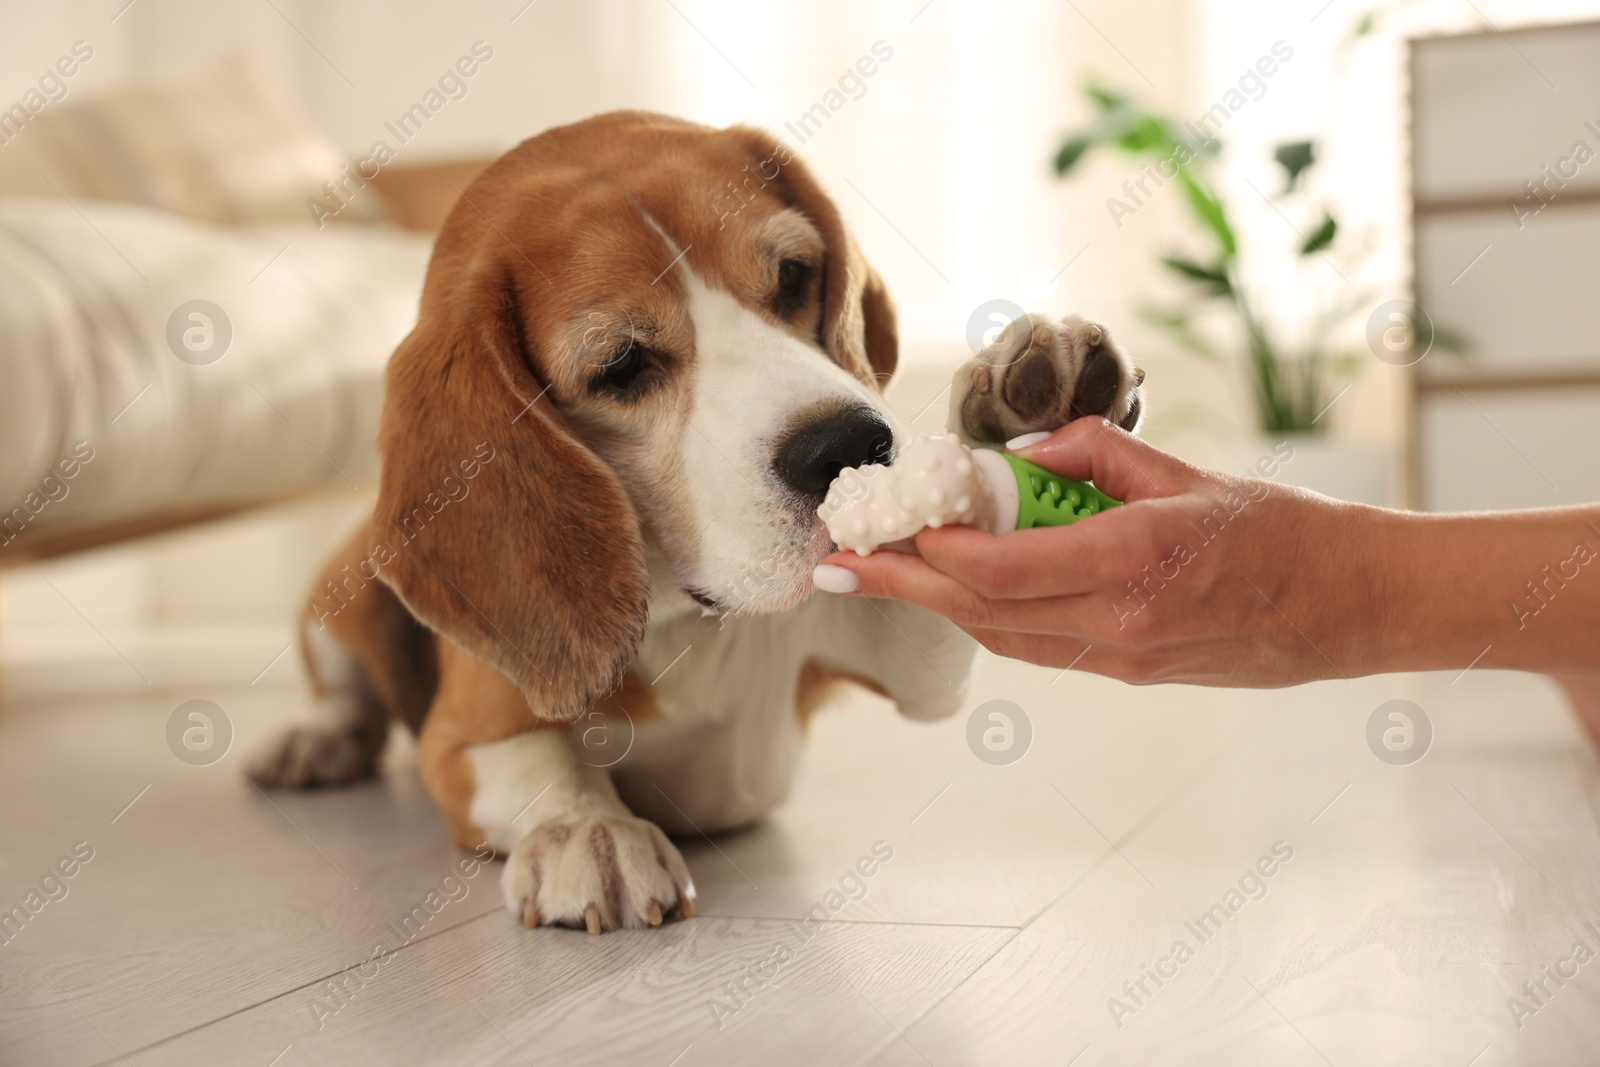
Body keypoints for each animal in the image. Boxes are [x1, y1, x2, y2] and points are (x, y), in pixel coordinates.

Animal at [246, 110, 1152, 934]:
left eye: (794, 274)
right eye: (621, 365)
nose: (851, 444)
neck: (693, 621)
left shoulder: (906, 660)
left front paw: (1017, 401)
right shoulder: (463, 736)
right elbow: (539, 757)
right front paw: (588, 828)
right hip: (342, 588)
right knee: (343, 688)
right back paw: (311, 741)